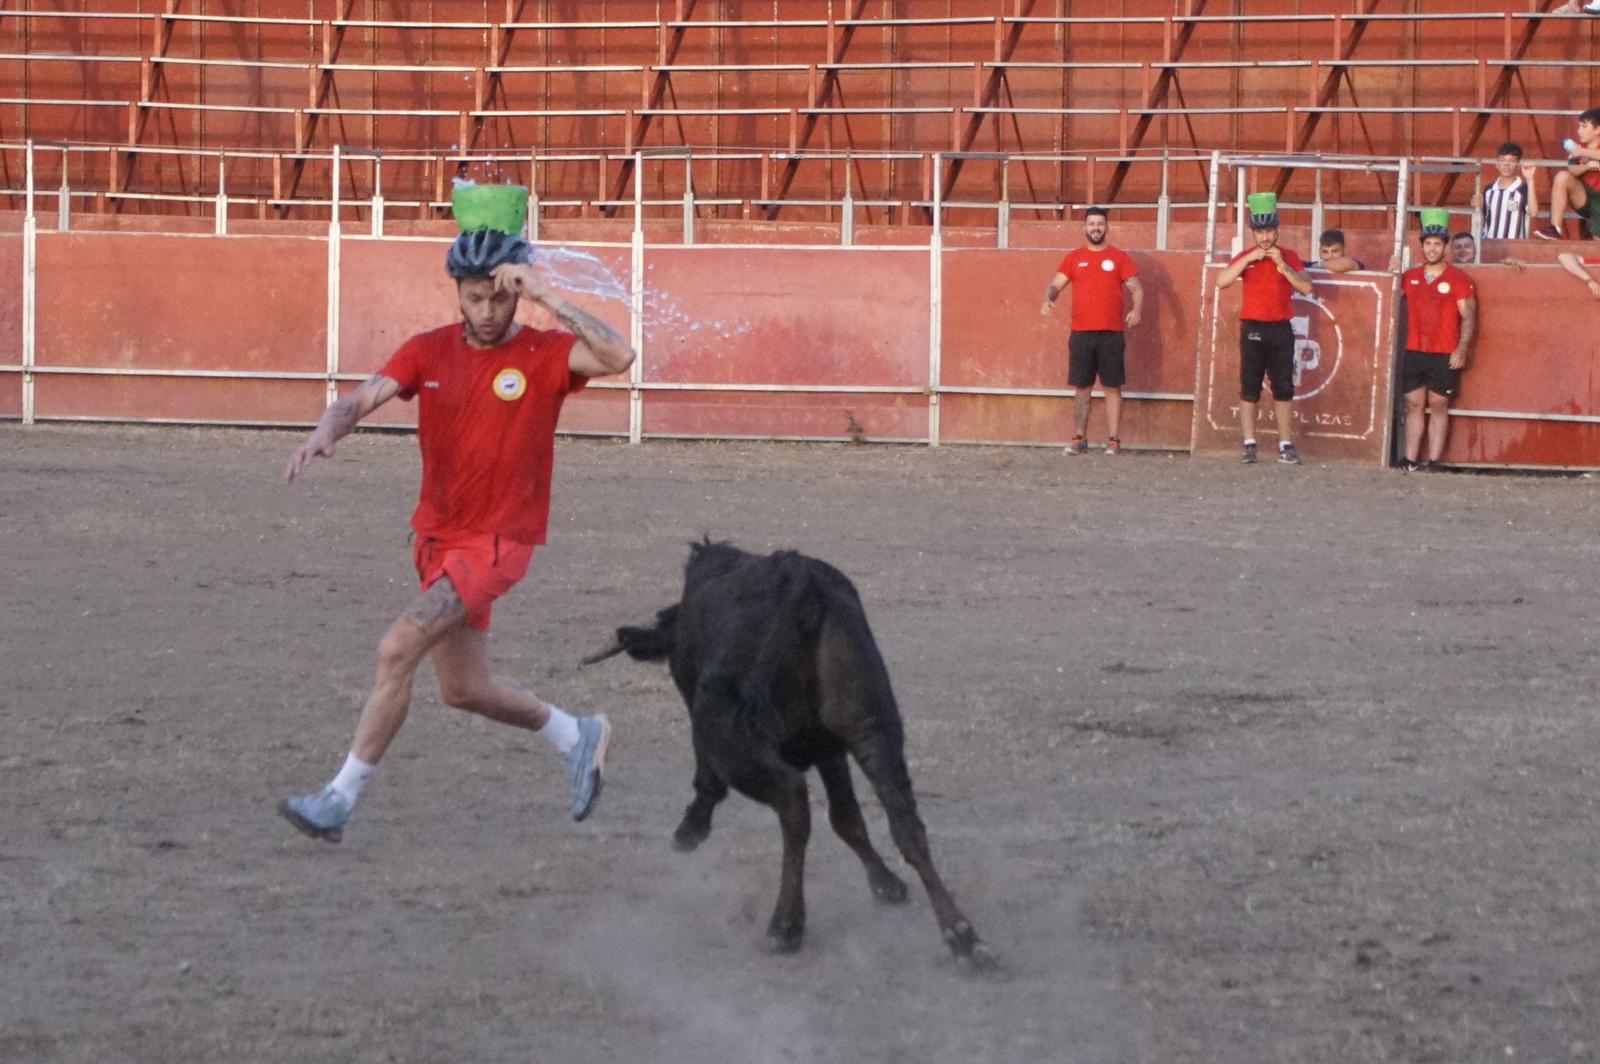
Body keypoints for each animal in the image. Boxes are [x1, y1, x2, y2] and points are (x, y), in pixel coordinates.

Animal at [582, 544, 992, 966]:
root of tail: (801, 586)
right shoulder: (829, 750)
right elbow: (847, 819)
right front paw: (886, 884)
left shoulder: (713, 729)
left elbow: (708, 781)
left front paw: (690, 830)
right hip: (874, 728)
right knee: (905, 822)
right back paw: (962, 935)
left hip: (735, 739)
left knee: (793, 801)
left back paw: (786, 924)